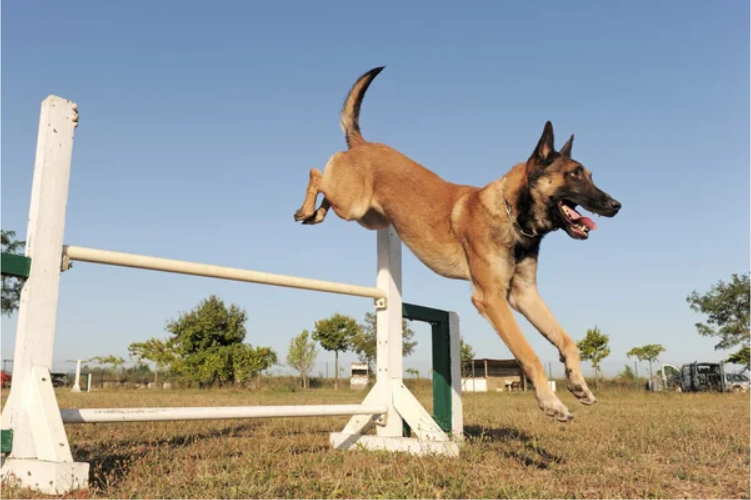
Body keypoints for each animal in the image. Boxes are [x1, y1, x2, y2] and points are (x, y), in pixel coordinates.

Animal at [296, 64, 624, 420]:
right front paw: (550, 402)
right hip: (352, 204)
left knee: (326, 191)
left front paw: (578, 384)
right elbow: (529, 354)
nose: (616, 205)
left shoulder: (524, 294)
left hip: (369, 218)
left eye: (589, 175)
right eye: (574, 174)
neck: (511, 215)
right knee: (315, 173)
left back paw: (315, 213)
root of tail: (362, 143)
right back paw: (305, 210)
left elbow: (566, 340)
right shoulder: (492, 299)